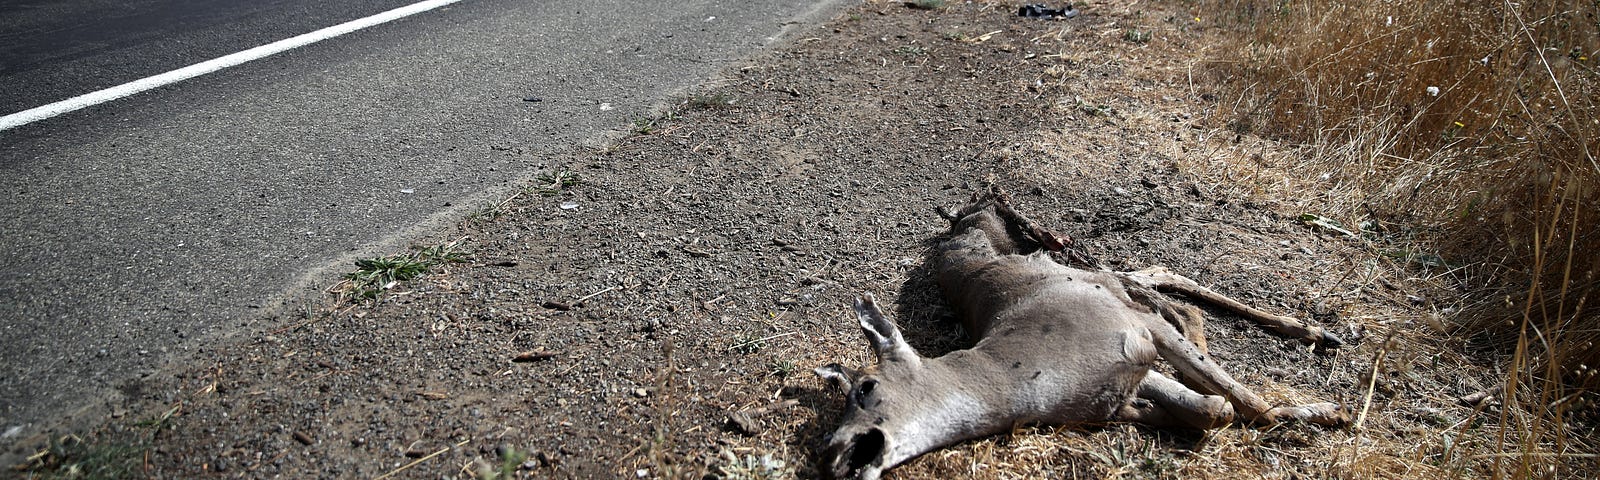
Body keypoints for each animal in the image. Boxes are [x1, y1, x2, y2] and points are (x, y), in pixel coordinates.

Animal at [812, 189, 1350, 476]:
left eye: (865, 387)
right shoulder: (1123, 384)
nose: (831, 452)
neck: (1028, 372)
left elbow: (1248, 404)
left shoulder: (1136, 331)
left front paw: (1330, 413)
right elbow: (1213, 410)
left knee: (1156, 285)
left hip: (1074, 262)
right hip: (1104, 281)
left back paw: (1319, 334)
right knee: (1155, 277)